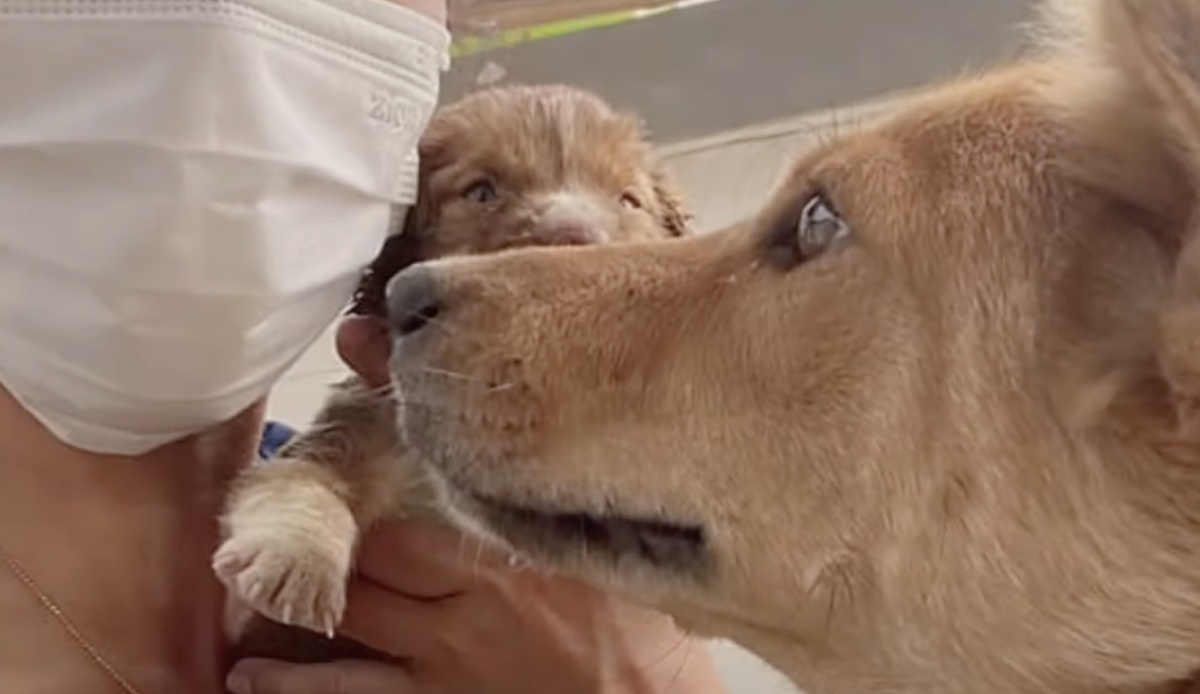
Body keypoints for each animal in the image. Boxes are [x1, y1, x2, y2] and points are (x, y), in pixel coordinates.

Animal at [211, 82, 691, 653]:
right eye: (482, 192)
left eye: (627, 201)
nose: (576, 241)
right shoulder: (349, 429)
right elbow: (300, 480)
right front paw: (296, 561)